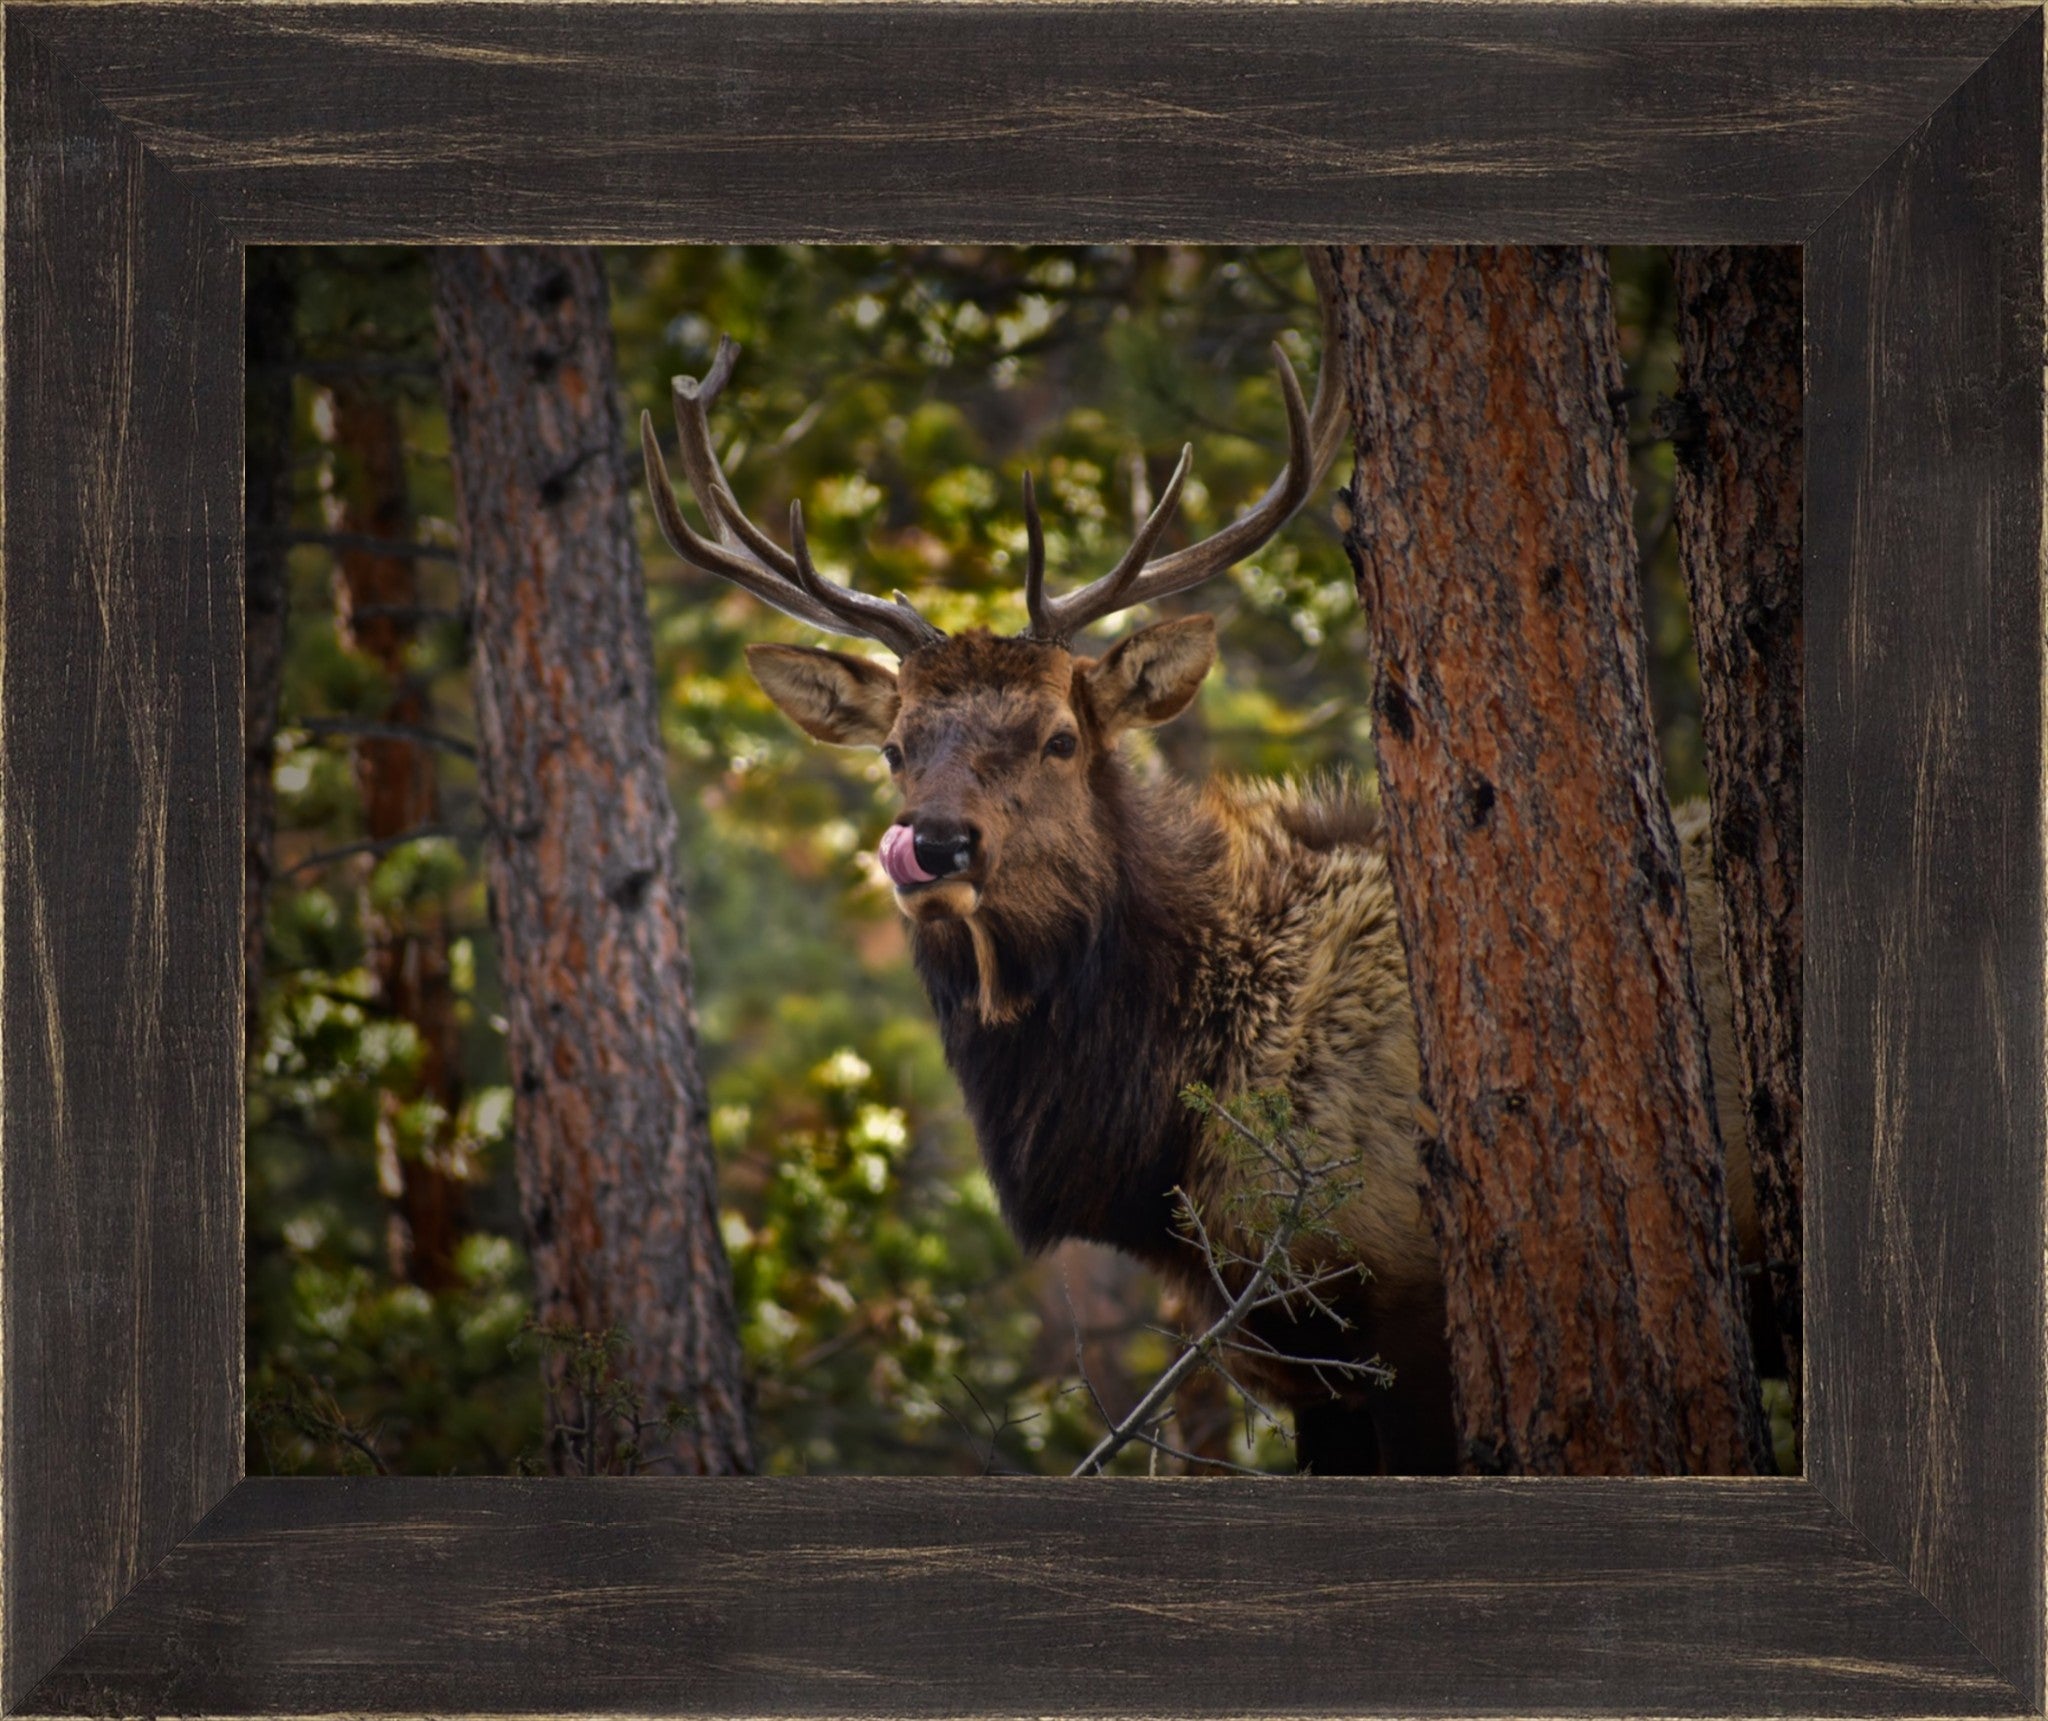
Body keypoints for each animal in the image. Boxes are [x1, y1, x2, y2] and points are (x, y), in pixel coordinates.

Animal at [639, 256, 1763, 1476]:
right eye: (895, 746)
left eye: (1059, 736)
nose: (932, 841)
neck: (1161, 1145)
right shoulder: (1291, 1354)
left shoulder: (1398, 1300)